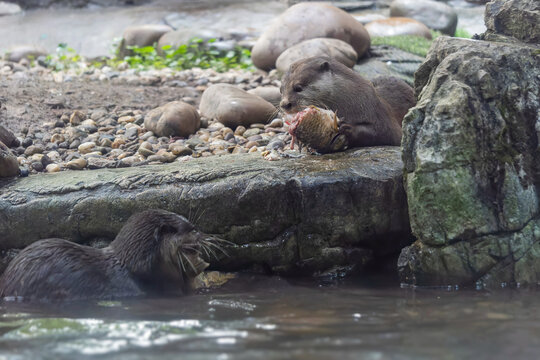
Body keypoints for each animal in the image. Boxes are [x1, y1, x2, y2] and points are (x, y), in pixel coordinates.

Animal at [280, 55, 416, 148]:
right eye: (281, 89)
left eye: (298, 87)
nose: (284, 104)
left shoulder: (381, 115)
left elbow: (386, 133)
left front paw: (347, 128)